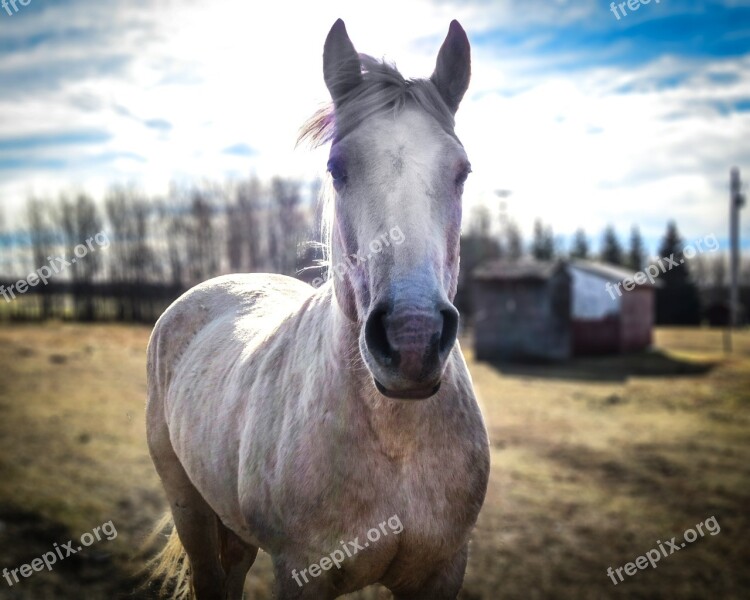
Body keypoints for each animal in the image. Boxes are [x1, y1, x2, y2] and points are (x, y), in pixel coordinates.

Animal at [147, 18, 494, 600]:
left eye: (463, 170)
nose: (413, 338)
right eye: (337, 168)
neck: (397, 438)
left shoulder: (445, 568)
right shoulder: (302, 572)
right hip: (187, 503)